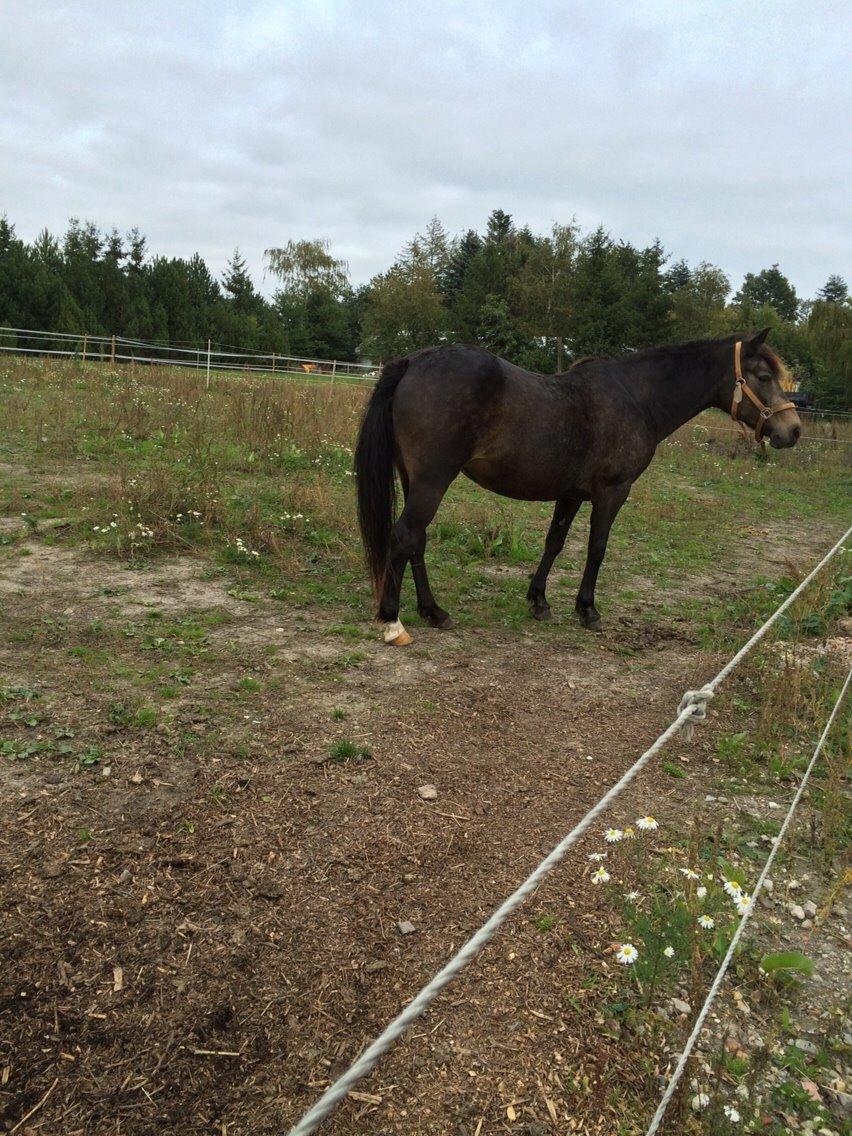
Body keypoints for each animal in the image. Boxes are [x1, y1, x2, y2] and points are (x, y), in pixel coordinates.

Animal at [352, 331, 799, 645]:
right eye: (763, 376)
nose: (792, 430)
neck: (637, 397)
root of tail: (413, 362)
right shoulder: (613, 492)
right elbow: (596, 549)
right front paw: (587, 609)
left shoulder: (570, 493)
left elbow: (555, 543)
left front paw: (538, 601)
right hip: (432, 481)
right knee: (405, 537)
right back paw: (393, 622)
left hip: (415, 480)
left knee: (417, 541)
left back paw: (433, 612)